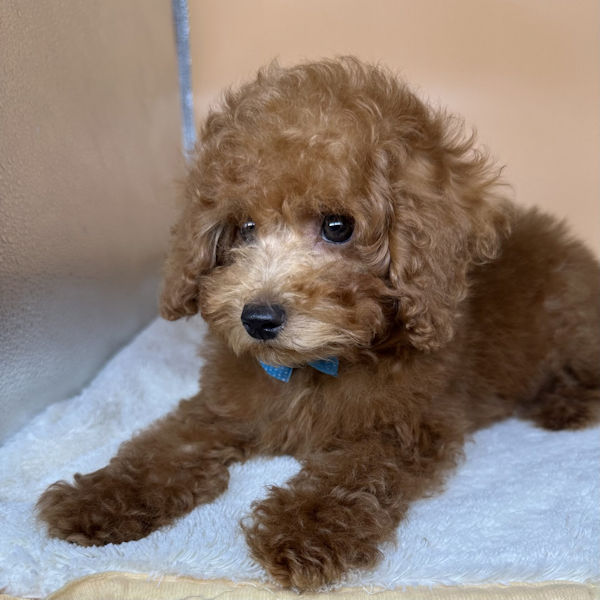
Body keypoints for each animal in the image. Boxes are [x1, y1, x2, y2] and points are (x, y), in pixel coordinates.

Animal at [38, 57, 600, 591]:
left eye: (338, 227)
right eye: (244, 228)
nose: (258, 318)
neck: (312, 366)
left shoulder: (405, 427)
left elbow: (352, 472)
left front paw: (303, 531)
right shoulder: (221, 406)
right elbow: (167, 445)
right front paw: (100, 496)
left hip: (571, 319)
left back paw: (564, 404)